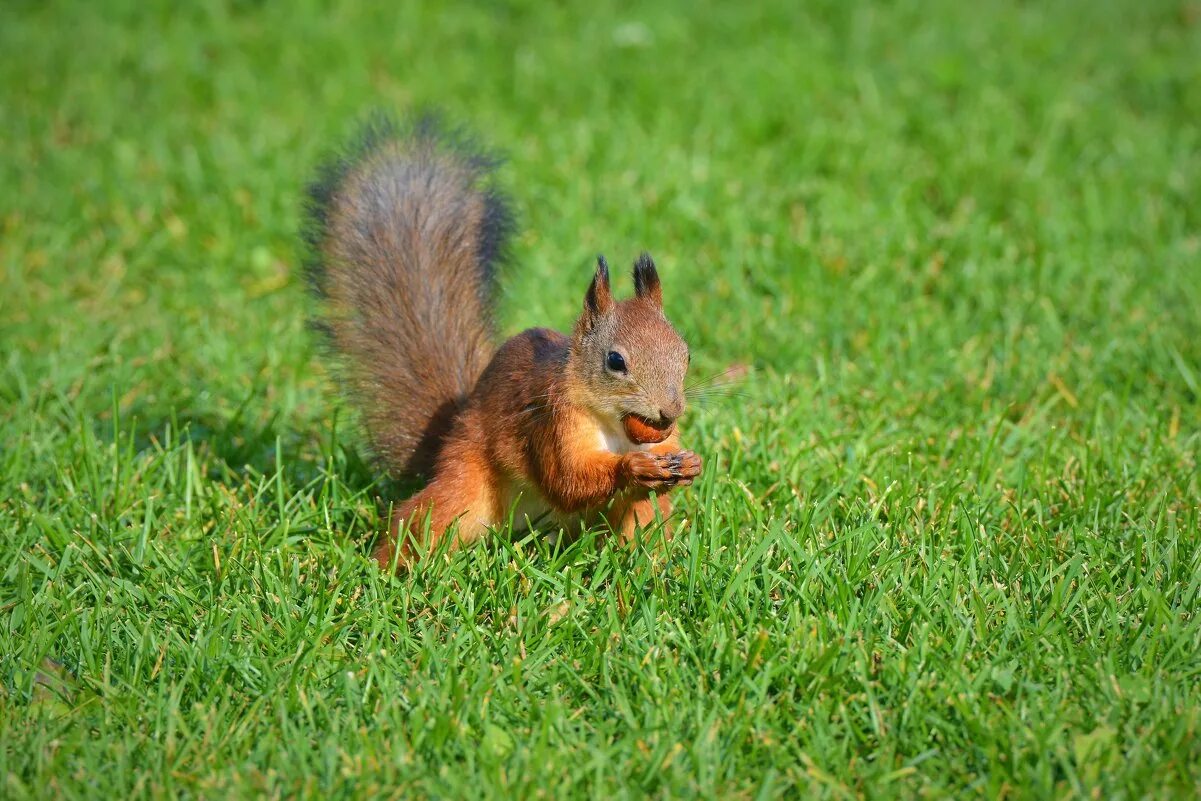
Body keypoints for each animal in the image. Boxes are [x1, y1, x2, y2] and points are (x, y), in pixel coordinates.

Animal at [302, 117, 701, 569]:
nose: (670, 411)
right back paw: (388, 568)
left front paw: (689, 465)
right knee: (426, 518)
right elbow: (567, 479)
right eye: (615, 361)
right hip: (463, 482)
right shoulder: (549, 423)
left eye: (685, 353)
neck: (616, 425)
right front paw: (632, 468)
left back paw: (649, 565)